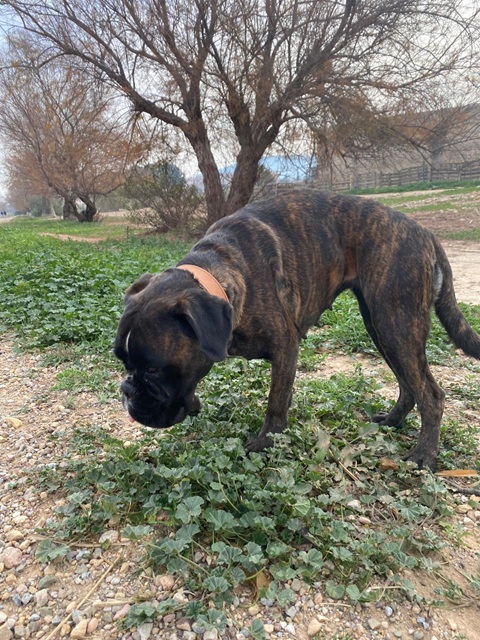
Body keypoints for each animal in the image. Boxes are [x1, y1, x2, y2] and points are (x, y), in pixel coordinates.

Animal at [114, 189, 480, 469]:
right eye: (123, 362)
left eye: (153, 369)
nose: (127, 391)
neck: (219, 272)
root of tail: (425, 232)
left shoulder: (285, 349)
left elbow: (276, 403)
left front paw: (266, 444)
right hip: (382, 326)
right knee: (408, 385)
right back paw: (393, 421)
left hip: (396, 325)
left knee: (431, 395)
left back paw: (423, 456)